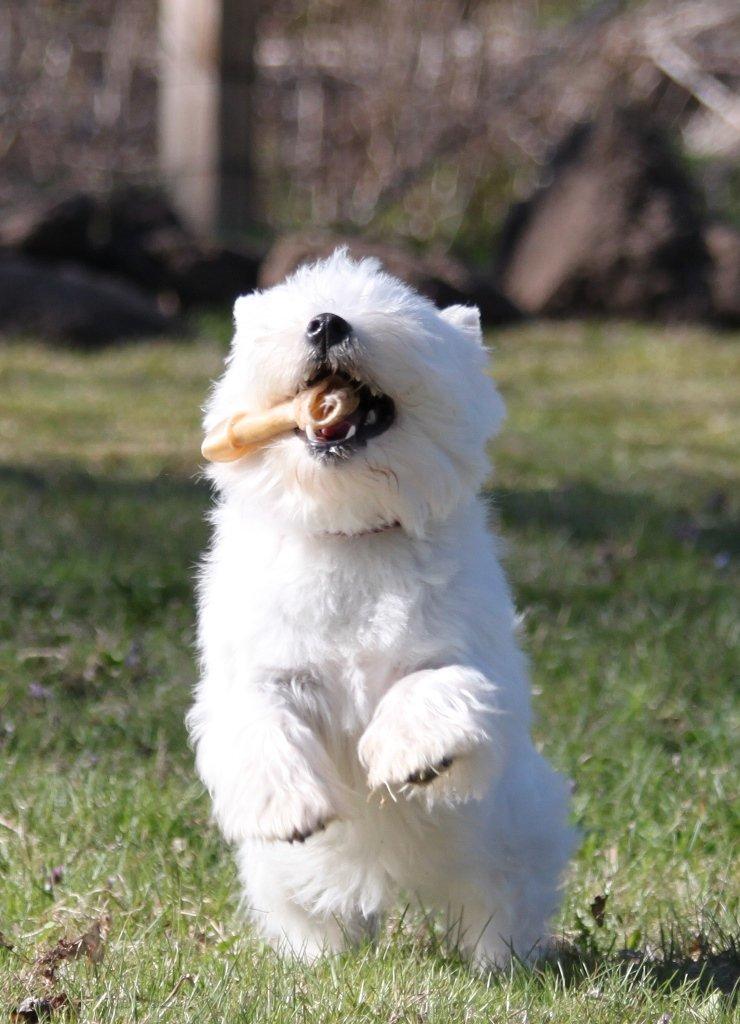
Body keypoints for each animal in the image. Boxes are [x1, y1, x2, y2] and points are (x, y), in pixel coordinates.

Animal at [186, 247, 577, 966]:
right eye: (298, 311)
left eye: (401, 314)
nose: (325, 323)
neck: (352, 530)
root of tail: (390, 882)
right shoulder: (262, 669)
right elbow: (260, 718)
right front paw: (290, 807)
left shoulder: (469, 657)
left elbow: (434, 686)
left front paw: (409, 755)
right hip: (283, 877)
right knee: (312, 908)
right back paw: (317, 956)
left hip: (510, 838)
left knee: (501, 903)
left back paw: (502, 964)